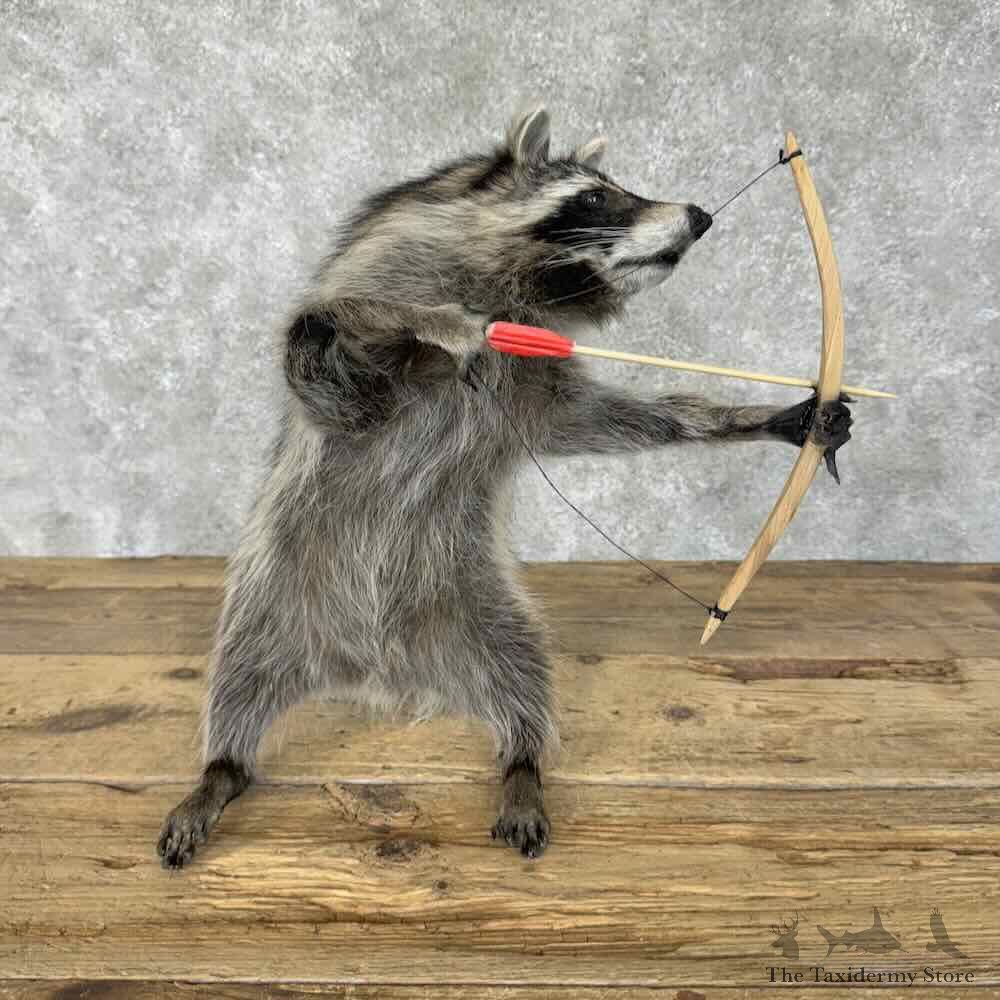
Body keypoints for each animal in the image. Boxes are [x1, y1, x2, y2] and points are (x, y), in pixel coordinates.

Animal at [157, 105, 851, 867]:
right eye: (596, 196)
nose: (699, 216)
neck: (524, 286)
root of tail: (379, 670)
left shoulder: (532, 392)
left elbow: (595, 422)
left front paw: (755, 415)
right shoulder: (360, 348)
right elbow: (333, 332)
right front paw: (435, 321)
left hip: (477, 606)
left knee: (523, 669)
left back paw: (522, 763)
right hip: (273, 601)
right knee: (236, 680)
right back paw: (221, 769)